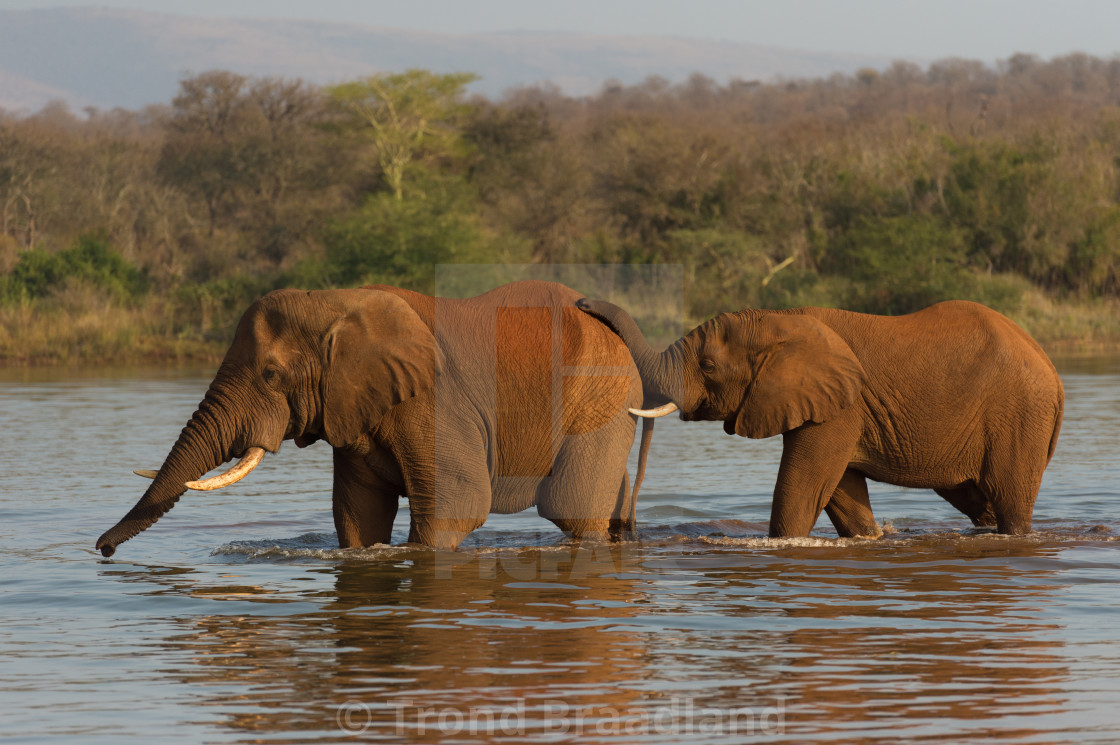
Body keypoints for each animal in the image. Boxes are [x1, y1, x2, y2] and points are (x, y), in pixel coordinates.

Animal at [101, 282, 654, 555]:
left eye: (271, 375)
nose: (103, 550)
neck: (333, 302)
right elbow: (359, 513)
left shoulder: (436, 399)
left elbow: (456, 505)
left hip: (601, 394)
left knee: (573, 510)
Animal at [577, 300, 1066, 537]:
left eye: (709, 366)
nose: (580, 303)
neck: (780, 319)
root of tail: (1052, 369)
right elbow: (842, 494)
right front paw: (871, 537)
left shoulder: (841, 407)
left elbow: (804, 487)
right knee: (978, 499)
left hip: (1020, 415)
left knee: (1008, 498)